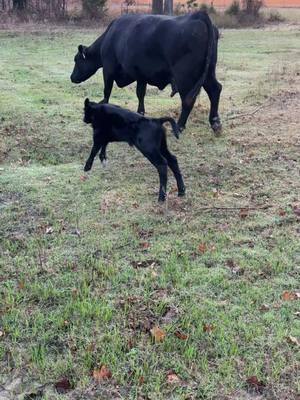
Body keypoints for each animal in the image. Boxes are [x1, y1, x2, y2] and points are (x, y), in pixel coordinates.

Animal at [69, 11, 220, 131]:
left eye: (76, 60)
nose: (72, 77)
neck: (109, 37)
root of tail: (198, 15)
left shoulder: (108, 69)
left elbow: (107, 91)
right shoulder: (141, 75)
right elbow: (140, 93)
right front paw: (140, 112)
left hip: (185, 78)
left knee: (188, 100)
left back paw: (179, 126)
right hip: (209, 72)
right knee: (215, 89)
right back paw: (215, 122)